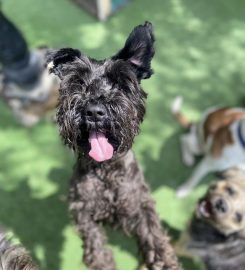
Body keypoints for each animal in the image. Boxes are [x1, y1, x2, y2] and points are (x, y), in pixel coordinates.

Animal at [47, 21, 181, 270]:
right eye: (78, 83)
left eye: (120, 83)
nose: (94, 111)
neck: (106, 170)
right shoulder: (83, 210)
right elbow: (95, 243)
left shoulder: (140, 204)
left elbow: (155, 237)